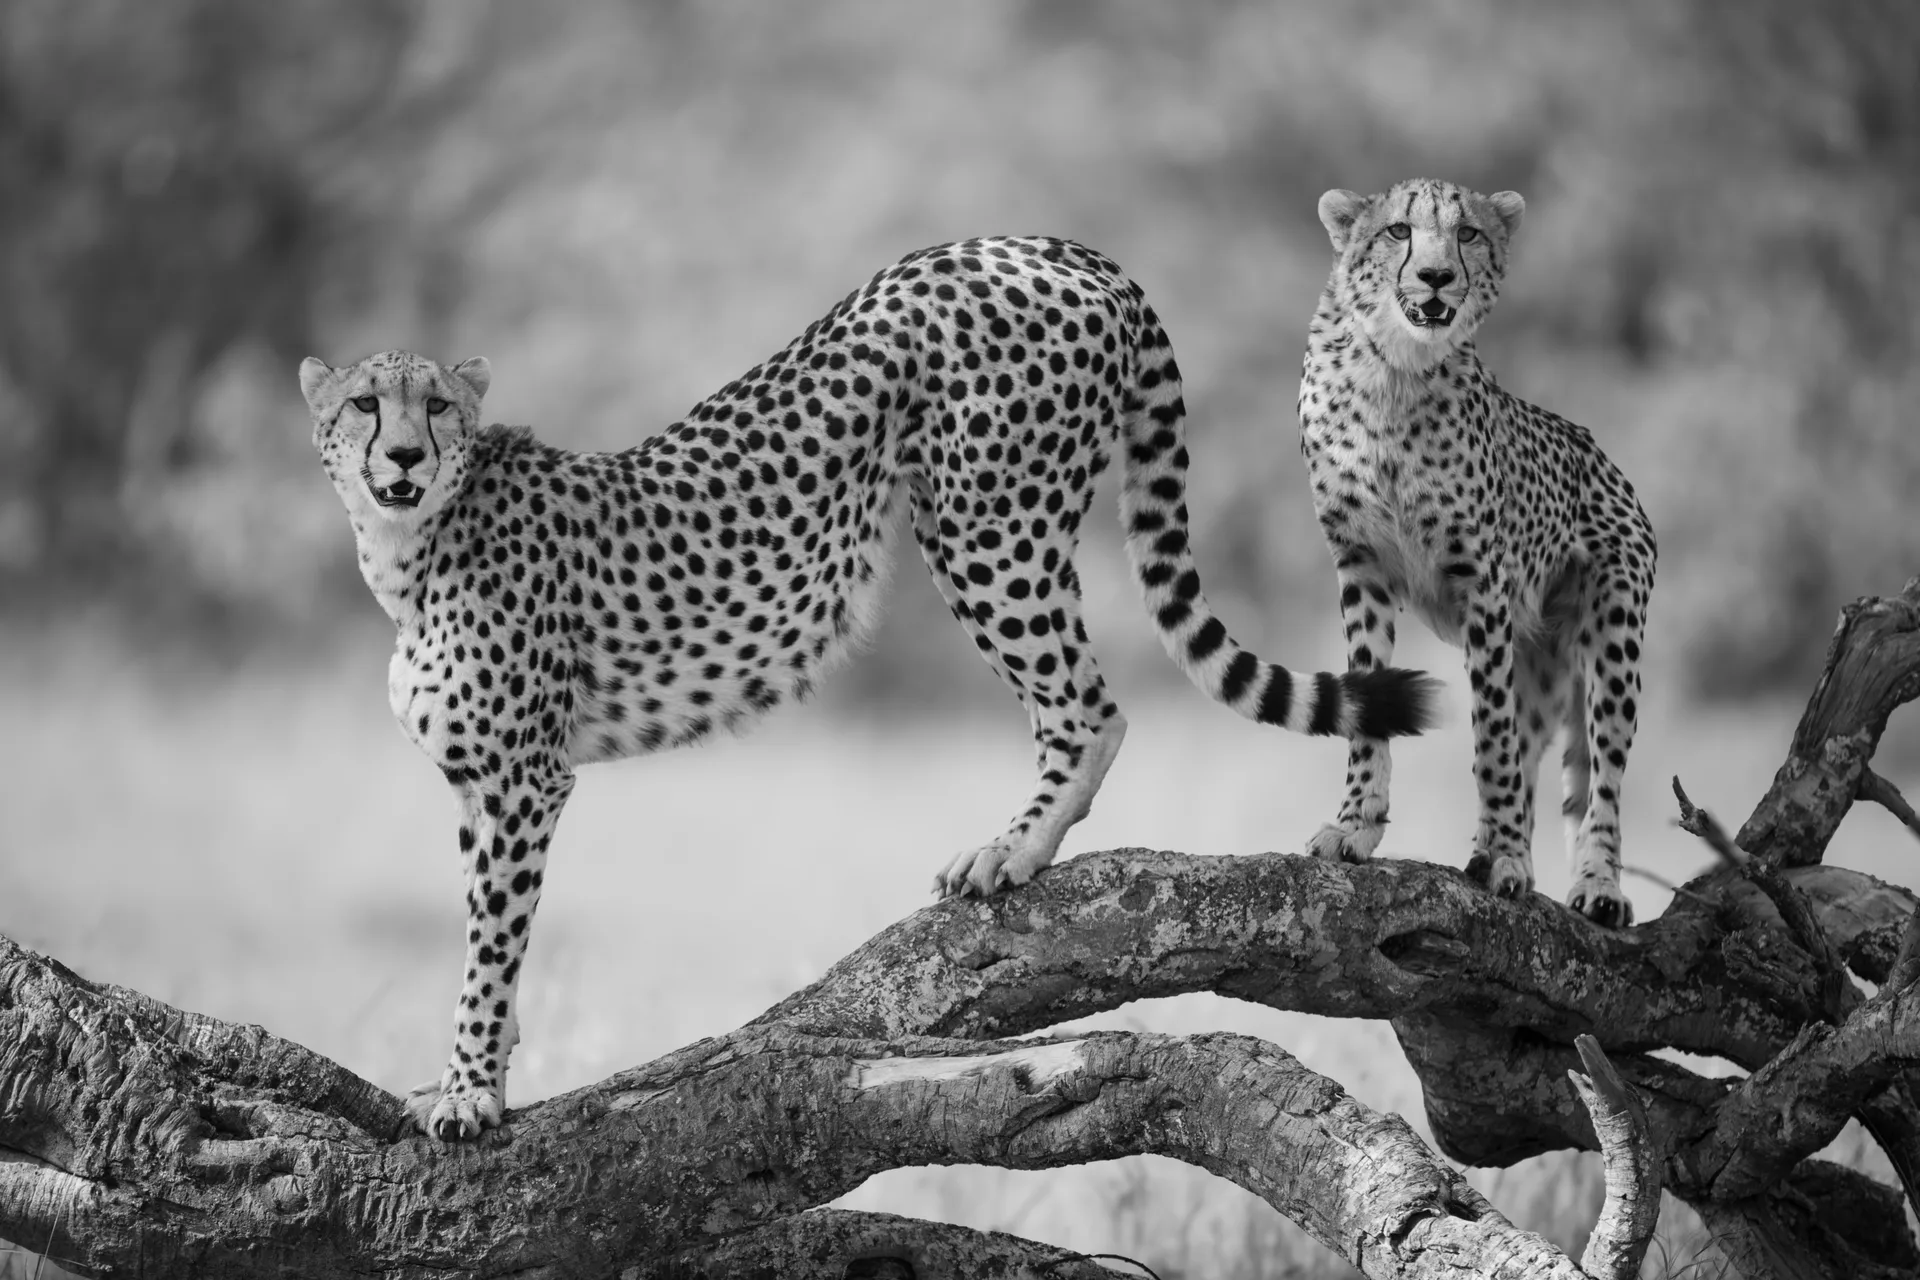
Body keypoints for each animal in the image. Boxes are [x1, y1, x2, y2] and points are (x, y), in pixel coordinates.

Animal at [300, 236, 1439, 1141]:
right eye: (364, 403)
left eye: (435, 405)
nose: (401, 456)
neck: (412, 545)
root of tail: (1051, 244)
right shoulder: (478, 781)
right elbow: (485, 928)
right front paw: (474, 1071)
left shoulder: (522, 779)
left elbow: (492, 942)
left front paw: (470, 1091)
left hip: (984, 523)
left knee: (1089, 704)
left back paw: (1012, 848)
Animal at [1295, 179, 1656, 928]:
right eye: (1398, 231)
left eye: (1468, 234)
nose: (1436, 276)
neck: (1395, 371)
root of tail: (1605, 459)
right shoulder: (1360, 565)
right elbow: (1371, 703)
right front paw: (1356, 824)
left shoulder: (1483, 582)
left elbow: (1491, 739)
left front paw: (1512, 862)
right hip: (1539, 663)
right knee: (1538, 749)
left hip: (1612, 634)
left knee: (1601, 778)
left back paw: (1595, 883)